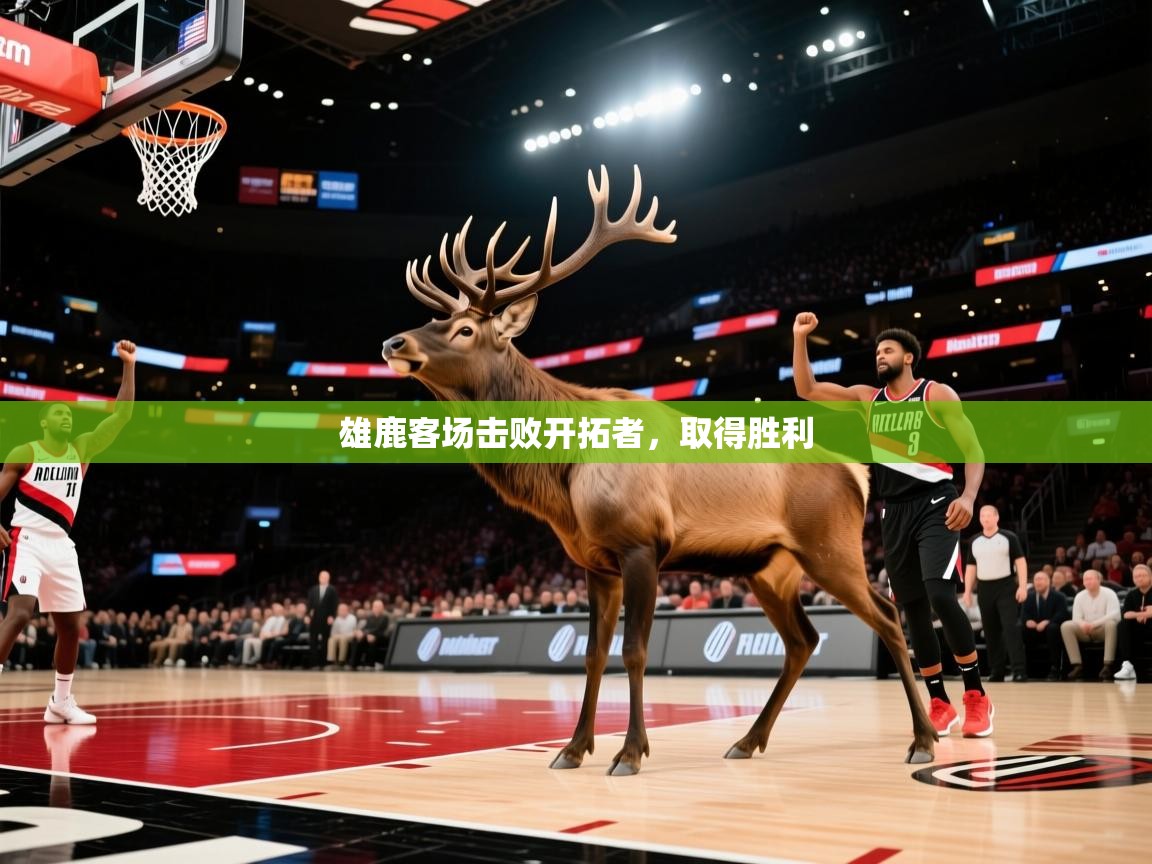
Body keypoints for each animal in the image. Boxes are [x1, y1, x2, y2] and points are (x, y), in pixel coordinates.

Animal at [382, 165, 937, 774]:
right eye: (435, 316)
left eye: (465, 330)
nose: (393, 341)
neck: (562, 480)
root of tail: (858, 475)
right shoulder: (594, 562)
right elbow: (592, 654)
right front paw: (572, 749)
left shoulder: (641, 543)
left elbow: (634, 650)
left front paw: (629, 752)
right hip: (770, 566)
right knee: (803, 640)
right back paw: (747, 740)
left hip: (829, 546)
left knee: (888, 616)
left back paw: (923, 739)